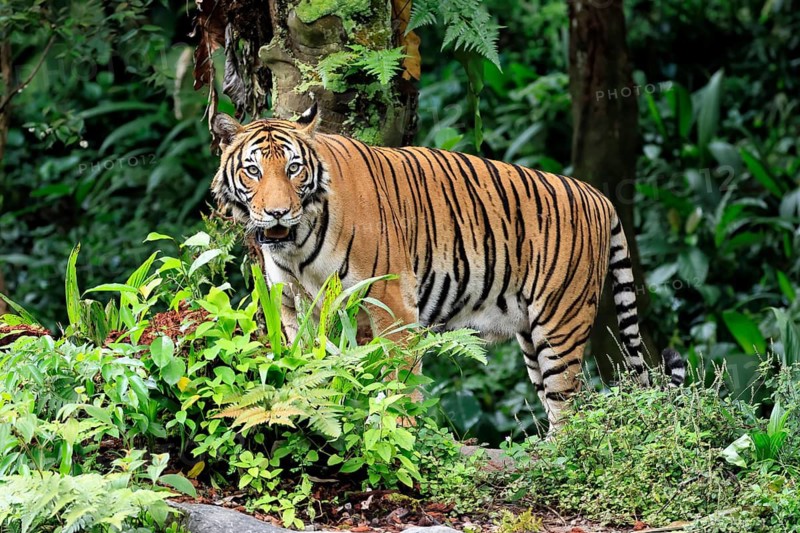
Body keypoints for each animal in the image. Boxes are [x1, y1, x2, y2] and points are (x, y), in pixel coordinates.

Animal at [210, 103, 686, 430]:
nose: (277, 212)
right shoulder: (292, 305)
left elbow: (398, 379)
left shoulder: (392, 303)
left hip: (561, 323)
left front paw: (398, 430)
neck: (296, 245)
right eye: (253, 170)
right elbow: (309, 366)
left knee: (572, 404)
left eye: (293, 168)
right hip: (531, 335)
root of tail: (599, 195)